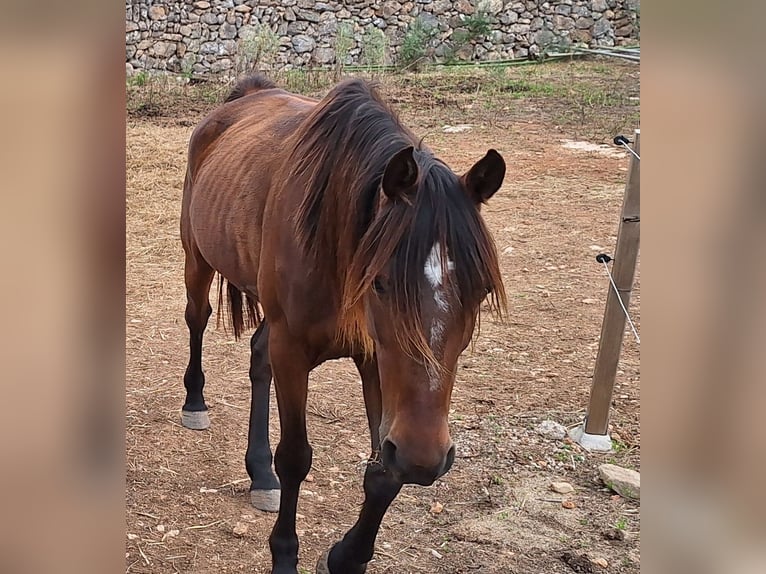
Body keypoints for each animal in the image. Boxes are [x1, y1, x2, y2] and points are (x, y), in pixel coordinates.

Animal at [179, 74, 507, 574]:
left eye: (482, 289)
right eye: (381, 283)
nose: (426, 458)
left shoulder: (376, 363)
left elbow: (385, 472)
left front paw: (346, 556)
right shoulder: (294, 350)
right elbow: (296, 457)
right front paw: (285, 555)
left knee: (258, 358)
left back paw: (260, 473)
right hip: (196, 257)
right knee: (197, 320)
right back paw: (195, 402)